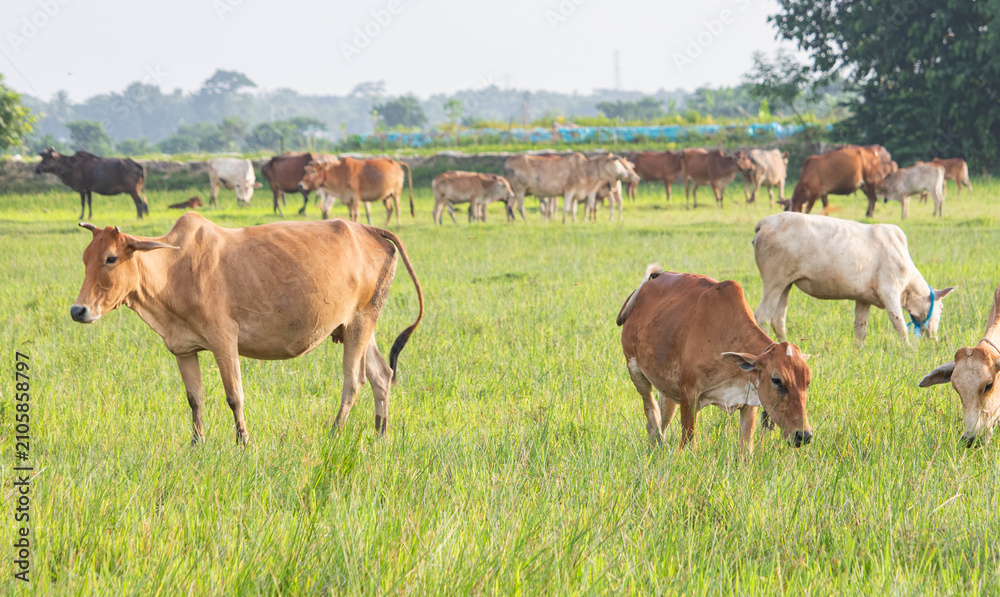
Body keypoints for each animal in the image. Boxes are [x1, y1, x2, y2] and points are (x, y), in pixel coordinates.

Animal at [70, 212, 424, 443]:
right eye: (85, 258)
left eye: (111, 258)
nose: (78, 310)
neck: (174, 269)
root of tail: (368, 229)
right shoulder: (183, 349)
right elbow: (195, 398)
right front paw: (197, 444)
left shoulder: (224, 340)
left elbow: (234, 395)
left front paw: (243, 443)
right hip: (357, 325)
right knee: (382, 375)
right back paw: (380, 435)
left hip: (362, 320)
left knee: (354, 381)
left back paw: (335, 433)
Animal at [617, 264, 814, 452]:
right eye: (777, 380)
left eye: (808, 382)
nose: (804, 435)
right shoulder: (689, 394)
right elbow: (687, 443)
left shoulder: (750, 401)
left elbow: (745, 450)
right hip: (635, 370)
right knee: (652, 416)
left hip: (667, 387)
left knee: (663, 418)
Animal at [752, 212, 955, 345]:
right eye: (942, 308)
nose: (935, 338)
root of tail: (765, 222)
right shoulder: (889, 292)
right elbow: (900, 325)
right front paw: (907, 350)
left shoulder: (863, 299)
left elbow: (860, 329)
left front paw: (859, 350)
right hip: (774, 281)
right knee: (762, 316)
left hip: (786, 284)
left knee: (778, 319)